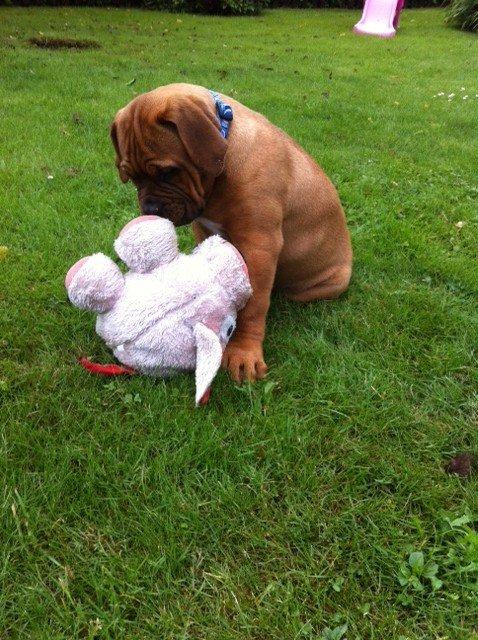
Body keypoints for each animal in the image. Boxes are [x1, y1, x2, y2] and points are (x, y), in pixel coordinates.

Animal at [111, 82, 352, 382]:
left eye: (168, 172)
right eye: (131, 177)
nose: (150, 209)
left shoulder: (259, 246)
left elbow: (253, 305)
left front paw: (243, 352)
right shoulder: (205, 229)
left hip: (332, 282)